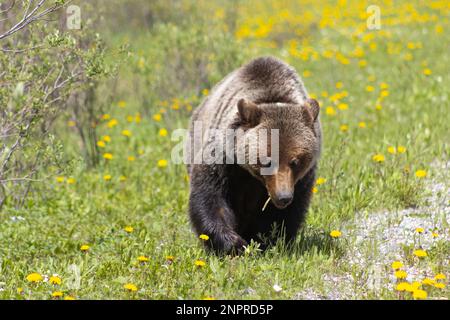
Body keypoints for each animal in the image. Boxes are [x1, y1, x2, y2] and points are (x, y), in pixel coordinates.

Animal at [185, 56, 322, 254]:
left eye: (295, 161)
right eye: (267, 161)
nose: (283, 197)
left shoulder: (302, 180)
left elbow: (284, 215)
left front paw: (267, 242)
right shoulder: (223, 159)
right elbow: (211, 196)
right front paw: (233, 243)